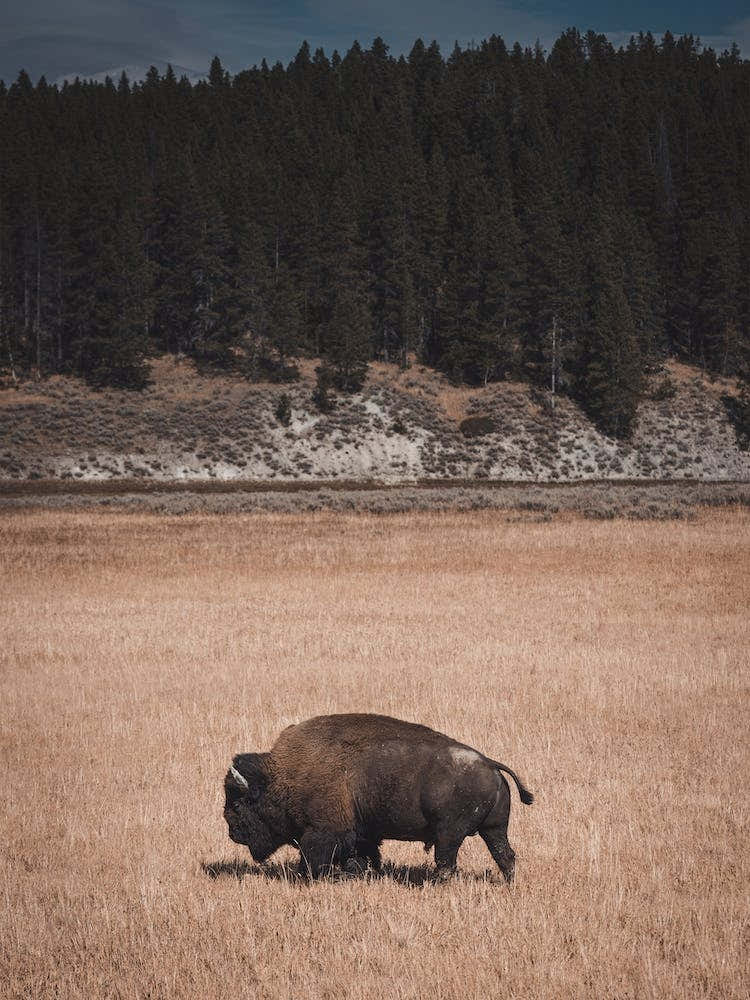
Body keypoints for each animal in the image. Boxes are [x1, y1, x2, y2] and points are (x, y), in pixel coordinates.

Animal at [224, 713, 533, 882]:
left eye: (238, 803)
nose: (232, 832)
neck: (285, 774)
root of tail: (490, 764)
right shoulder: (363, 833)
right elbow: (364, 856)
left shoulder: (324, 831)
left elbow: (313, 857)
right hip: (494, 828)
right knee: (504, 855)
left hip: (449, 834)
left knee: (447, 863)